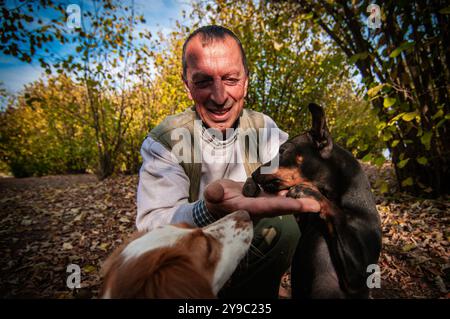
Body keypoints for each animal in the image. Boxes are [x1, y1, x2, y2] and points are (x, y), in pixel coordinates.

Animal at [244, 103, 382, 300]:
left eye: (283, 150)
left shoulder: (359, 277)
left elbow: (336, 212)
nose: (254, 174)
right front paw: (249, 186)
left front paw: (308, 191)